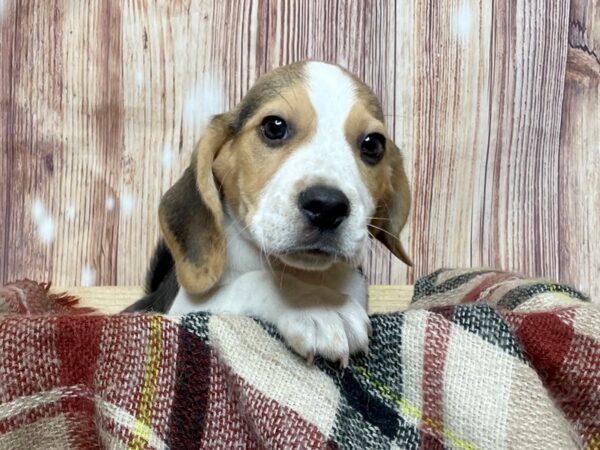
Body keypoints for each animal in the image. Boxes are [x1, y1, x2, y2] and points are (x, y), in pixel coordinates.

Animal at [124, 61, 410, 368]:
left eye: (373, 145)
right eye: (274, 127)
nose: (327, 206)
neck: (297, 270)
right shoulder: (185, 309)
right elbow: (253, 281)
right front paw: (319, 306)